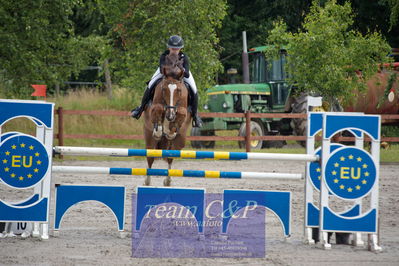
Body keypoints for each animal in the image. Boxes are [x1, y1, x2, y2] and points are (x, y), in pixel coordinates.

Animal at [143, 52, 193, 185]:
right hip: (149, 138)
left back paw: (168, 181)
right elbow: (158, 109)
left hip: (180, 141)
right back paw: (147, 181)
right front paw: (159, 130)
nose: (170, 115)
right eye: (164, 89)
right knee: (150, 157)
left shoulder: (183, 110)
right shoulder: (154, 107)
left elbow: (181, 113)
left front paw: (171, 131)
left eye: (179, 90)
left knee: (170, 157)